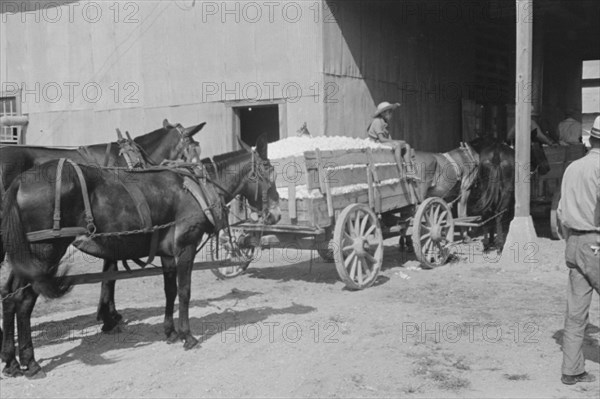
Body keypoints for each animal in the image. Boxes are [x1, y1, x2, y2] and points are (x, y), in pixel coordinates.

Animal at [0, 134, 282, 378]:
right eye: (268, 173)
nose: (277, 214)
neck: (198, 188)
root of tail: (20, 182)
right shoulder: (186, 248)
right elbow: (184, 292)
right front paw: (187, 335)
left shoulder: (167, 254)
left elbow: (170, 291)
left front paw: (170, 332)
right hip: (46, 253)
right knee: (24, 301)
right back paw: (30, 362)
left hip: (26, 256)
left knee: (10, 296)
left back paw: (11, 361)